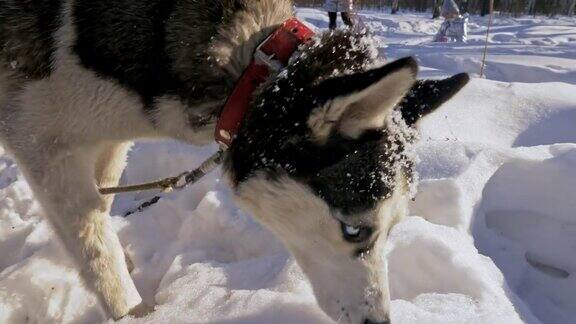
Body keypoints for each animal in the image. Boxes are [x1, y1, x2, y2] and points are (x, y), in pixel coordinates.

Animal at [0, 0, 468, 322]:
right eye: (355, 230)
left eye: (394, 227)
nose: (378, 320)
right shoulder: (46, 147)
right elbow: (97, 249)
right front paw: (134, 311)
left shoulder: (105, 140)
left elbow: (103, 201)